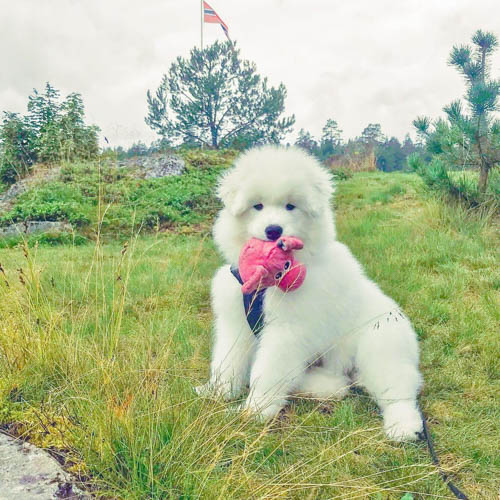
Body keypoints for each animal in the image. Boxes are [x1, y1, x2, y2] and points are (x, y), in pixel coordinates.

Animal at [197, 146, 424, 442]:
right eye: (257, 206)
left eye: (290, 206)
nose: (274, 230)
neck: (267, 283)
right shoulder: (235, 322)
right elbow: (227, 361)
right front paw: (218, 391)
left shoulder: (287, 331)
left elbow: (267, 370)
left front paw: (254, 410)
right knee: (338, 384)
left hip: (381, 345)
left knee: (398, 389)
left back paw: (403, 426)